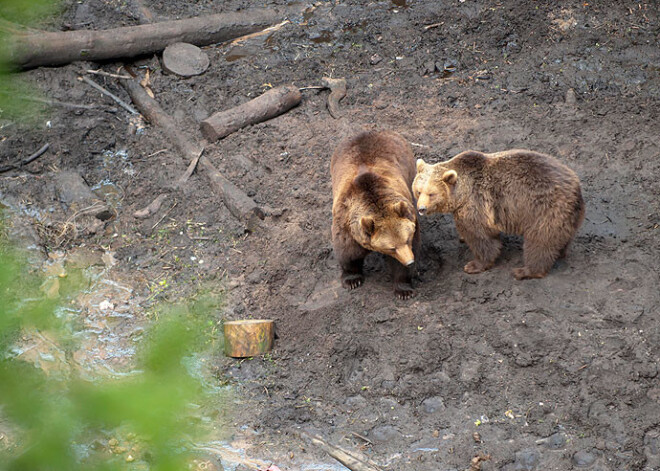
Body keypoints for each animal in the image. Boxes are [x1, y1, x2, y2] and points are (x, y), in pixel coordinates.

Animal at [332, 131, 420, 298]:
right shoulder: (347, 222)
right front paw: (352, 280)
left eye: (407, 239)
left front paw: (404, 289)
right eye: (392, 248)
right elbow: (348, 252)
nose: (410, 261)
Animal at [416, 149, 584, 278]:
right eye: (418, 191)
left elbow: (481, 237)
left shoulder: (476, 204)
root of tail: (576, 187)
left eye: (431, 194)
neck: (461, 195)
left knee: (539, 241)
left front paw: (473, 265)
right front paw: (462, 238)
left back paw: (524, 271)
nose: (421, 208)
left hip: (544, 209)